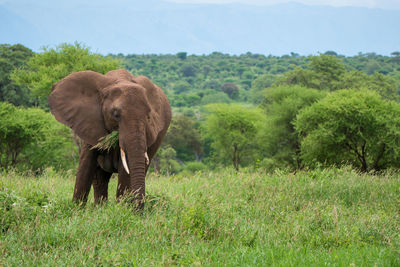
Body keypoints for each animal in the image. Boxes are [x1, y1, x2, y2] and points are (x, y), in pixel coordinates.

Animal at [48, 69, 170, 209]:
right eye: (116, 114)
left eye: (148, 116)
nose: (138, 209)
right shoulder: (89, 123)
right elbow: (86, 165)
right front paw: (76, 209)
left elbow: (125, 171)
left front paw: (122, 210)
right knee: (100, 178)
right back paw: (100, 208)